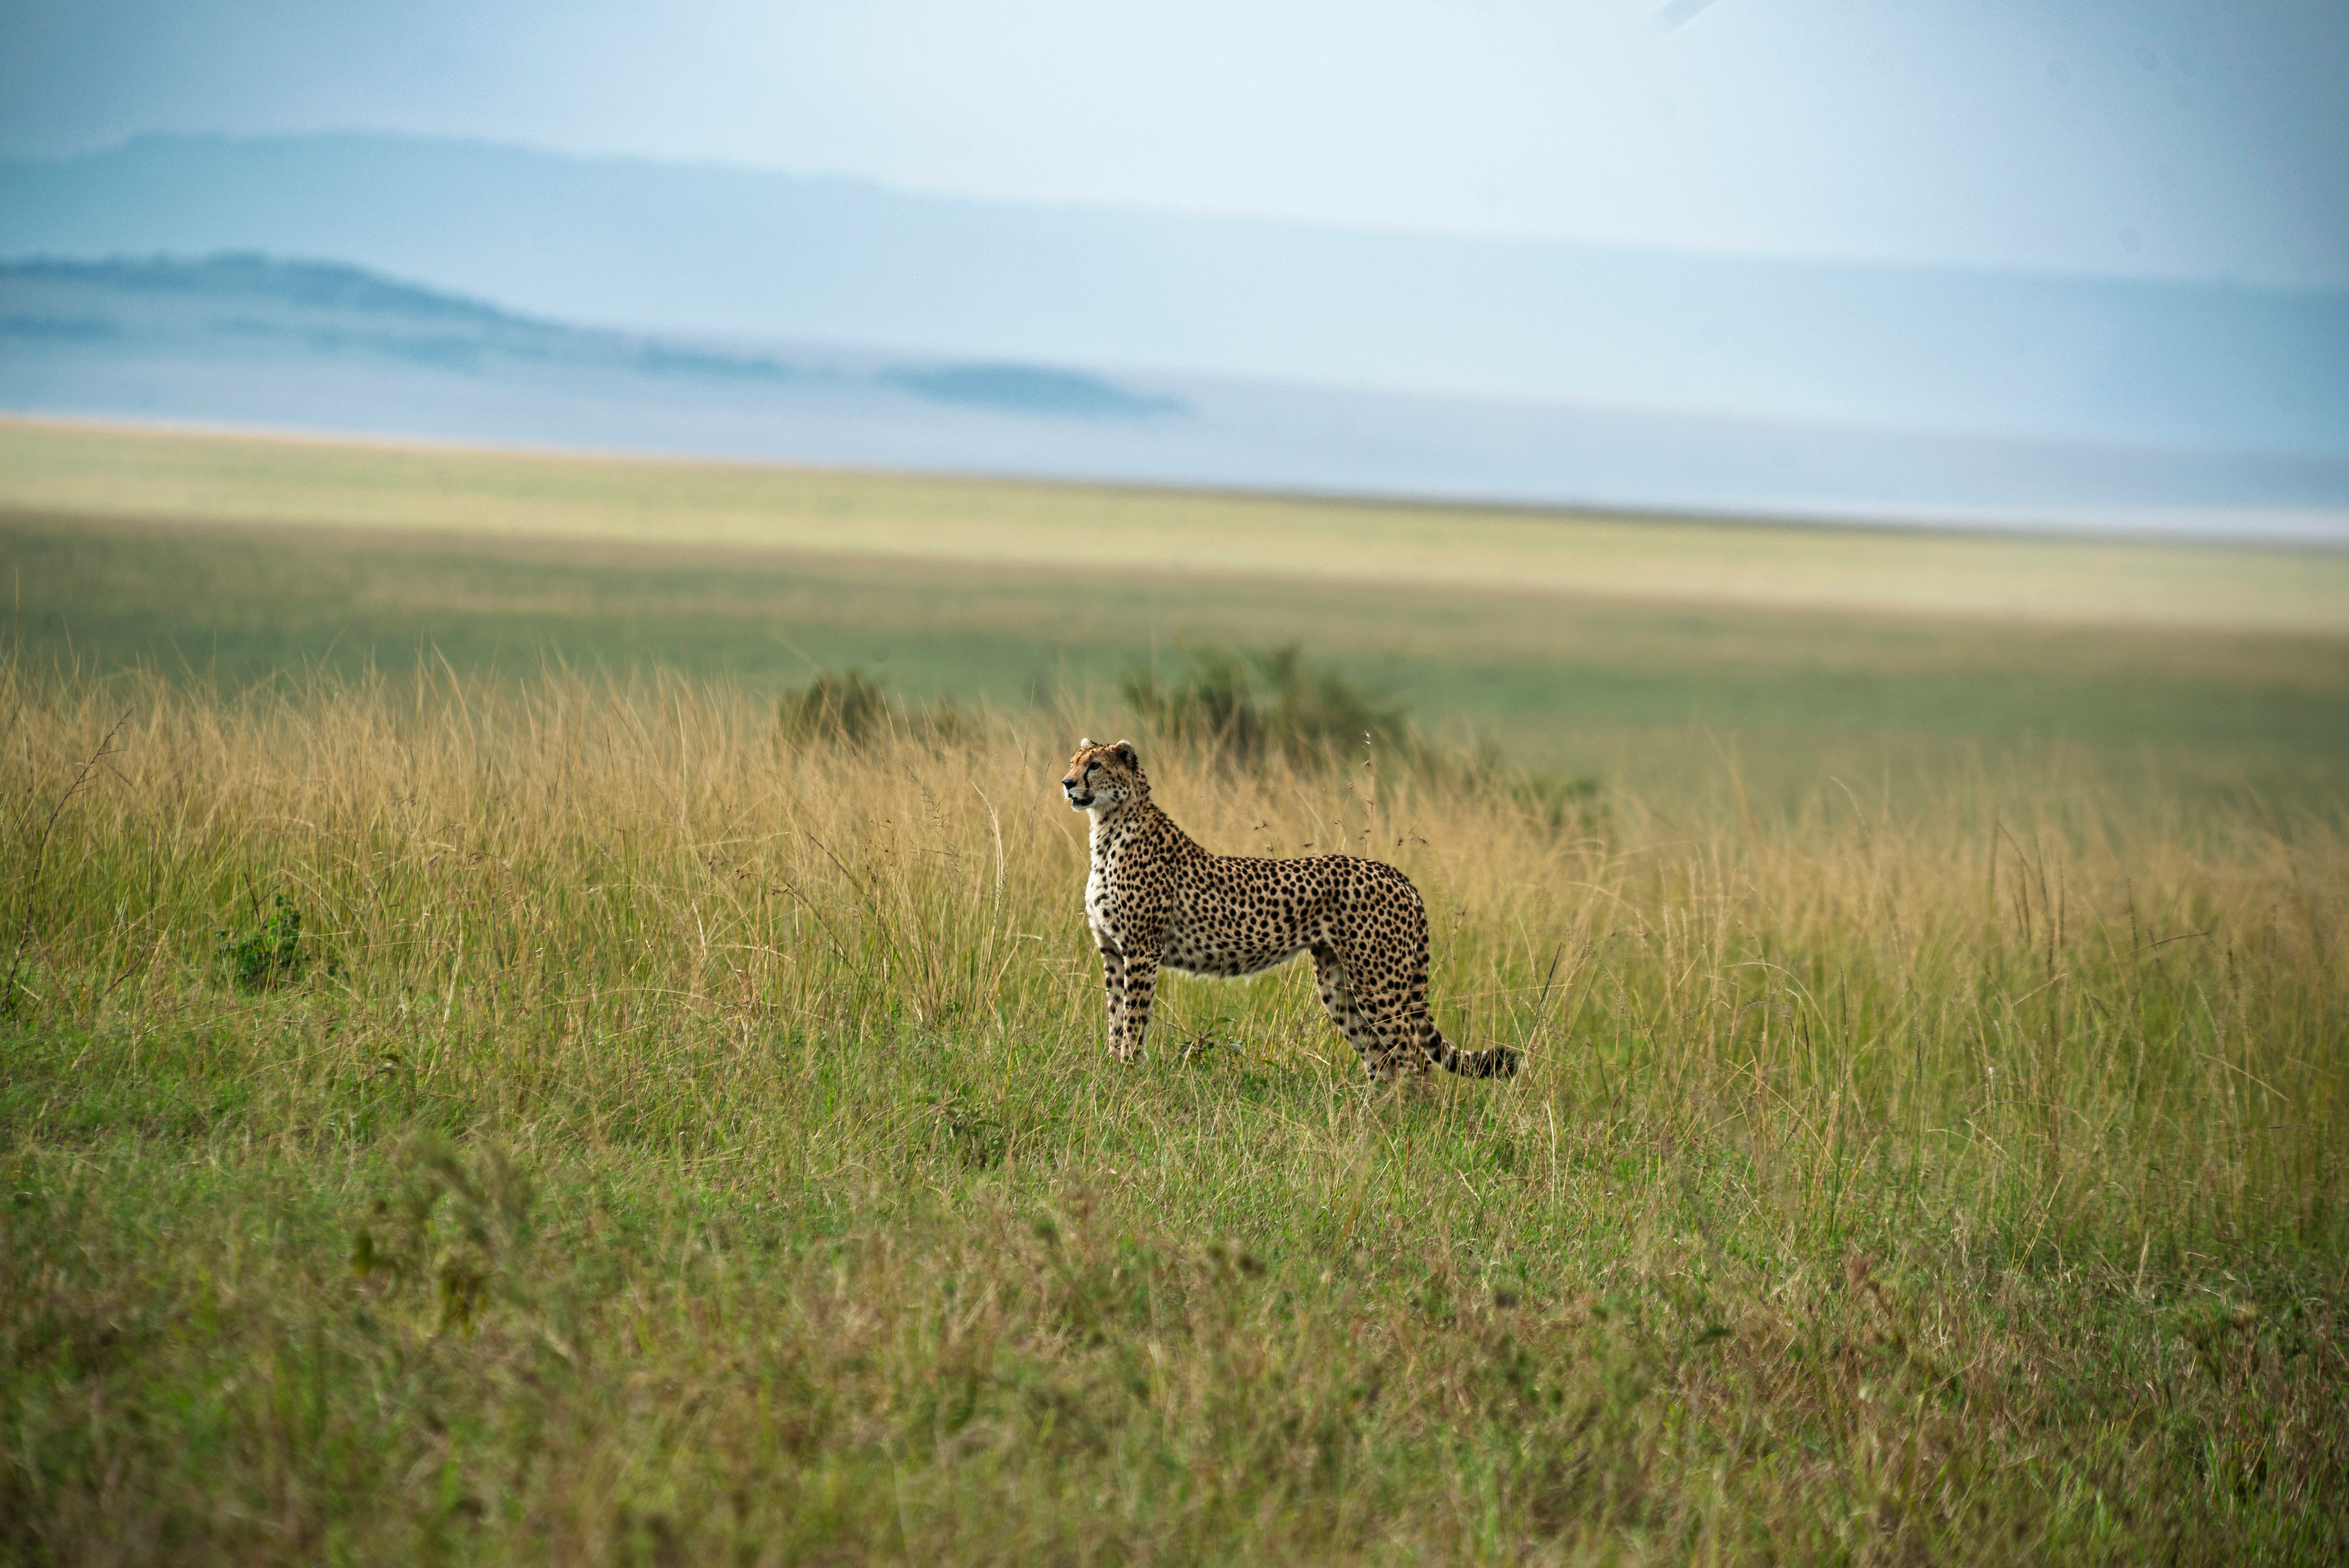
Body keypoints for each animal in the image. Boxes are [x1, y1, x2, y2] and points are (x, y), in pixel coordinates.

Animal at [1061, 737, 1519, 1082]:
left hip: (1379, 981)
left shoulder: (1142, 950)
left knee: (1413, 1060)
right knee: (1382, 1060)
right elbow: (1115, 1014)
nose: (1066, 783)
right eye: (1073, 762)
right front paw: (1112, 1069)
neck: (1108, 827)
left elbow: (1133, 1019)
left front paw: (1128, 1072)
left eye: (1095, 766)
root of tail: (1396, 874)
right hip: (1339, 981)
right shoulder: (1113, 951)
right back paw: (1371, 1123)